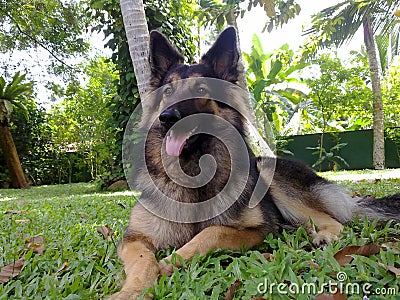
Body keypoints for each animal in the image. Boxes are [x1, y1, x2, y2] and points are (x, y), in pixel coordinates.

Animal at [110, 27, 400, 298]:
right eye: (168, 91)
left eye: (201, 89)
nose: (168, 117)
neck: (192, 172)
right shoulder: (134, 239)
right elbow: (143, 261)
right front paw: (132, 291)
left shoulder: (257, 230)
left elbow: (211, 232)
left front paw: (168, 263)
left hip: (275, 180)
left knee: (333, 220)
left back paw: (326, 234)